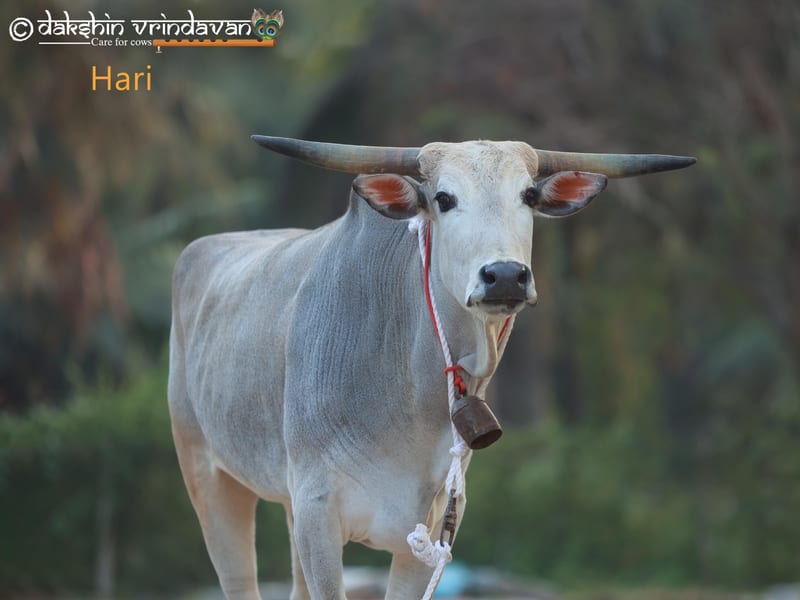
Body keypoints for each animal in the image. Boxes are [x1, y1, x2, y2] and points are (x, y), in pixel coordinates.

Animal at [167, 137, 695, 600]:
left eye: (527, 195)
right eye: (443, 198)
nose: (505, 276)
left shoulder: (431, 529)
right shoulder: (318, 517)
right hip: (210, 479)